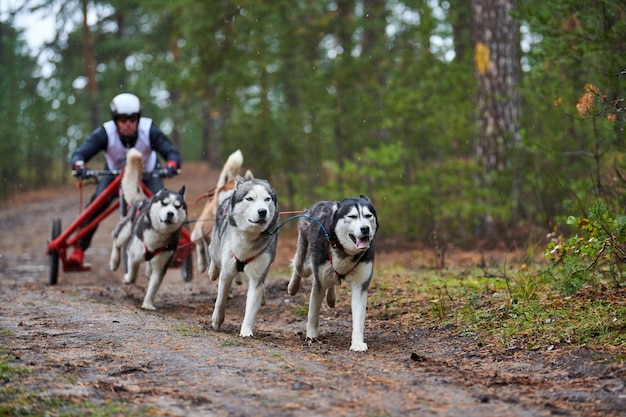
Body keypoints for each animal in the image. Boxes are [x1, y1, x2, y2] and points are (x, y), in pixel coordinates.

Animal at [108, 149, 186, 308]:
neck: (158, 235)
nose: (170, 213)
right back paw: (114, 261)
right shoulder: (133, 253)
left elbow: (154, 285)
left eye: (177, 206)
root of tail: (142, 199)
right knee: (116, 240)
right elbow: (133, 273)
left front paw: (148, 304)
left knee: (149, 269)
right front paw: (127, 278)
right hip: (126, 231)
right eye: (164, 203)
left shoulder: (162, 264)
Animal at [207, 175, 278, 334]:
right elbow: (220, 299)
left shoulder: (257, 276)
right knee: (212, 254)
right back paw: (212, 272)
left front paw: (246, 331)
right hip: (216, 250)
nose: (262, 211)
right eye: (249, 198)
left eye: (267, 199)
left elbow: (251, 307)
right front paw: (217, 320)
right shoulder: (227, 272)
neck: (248, 238)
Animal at [286, 195, 376, 352]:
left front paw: (357, 343)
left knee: (332, 279)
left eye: (368, 215)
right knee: (298, 266)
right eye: (352, 216)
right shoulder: (319, 281)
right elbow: (313, 314)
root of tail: (314, 206)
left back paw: (331, 297)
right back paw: (293, 286)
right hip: (305, 264)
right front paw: (311, 336)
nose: (365, 228)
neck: (344, 251)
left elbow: (358, 317)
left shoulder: (360, 285)